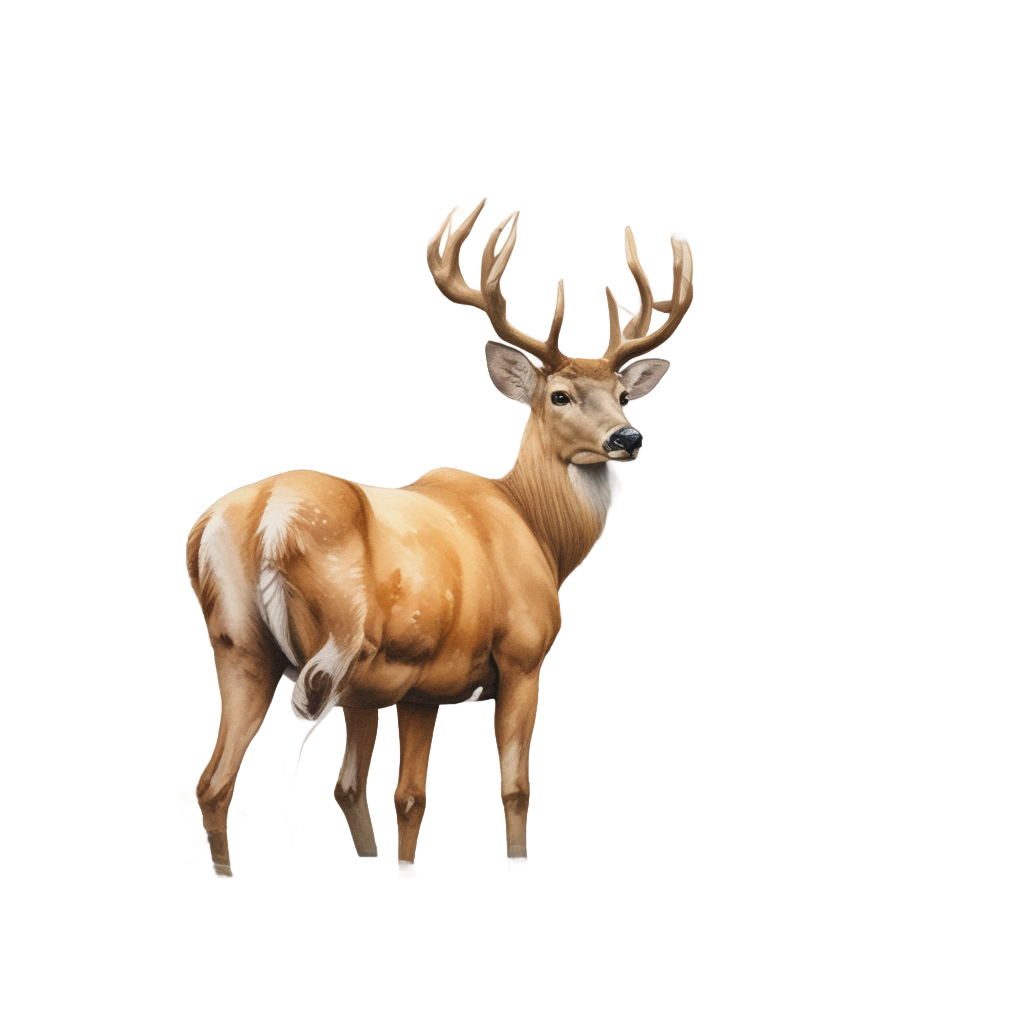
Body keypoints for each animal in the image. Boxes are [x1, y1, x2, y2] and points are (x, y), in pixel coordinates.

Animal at [186, 199, 692, 877]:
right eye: (559, 394)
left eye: (624, 393)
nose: (628, 438)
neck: (536, 530)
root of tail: (268, 513)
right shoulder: (521, 653)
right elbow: (513, 786)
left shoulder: (421, 689)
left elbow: (405, 798)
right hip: (337, 644)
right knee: (289, 766)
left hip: (240, 644)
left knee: (218, 782)